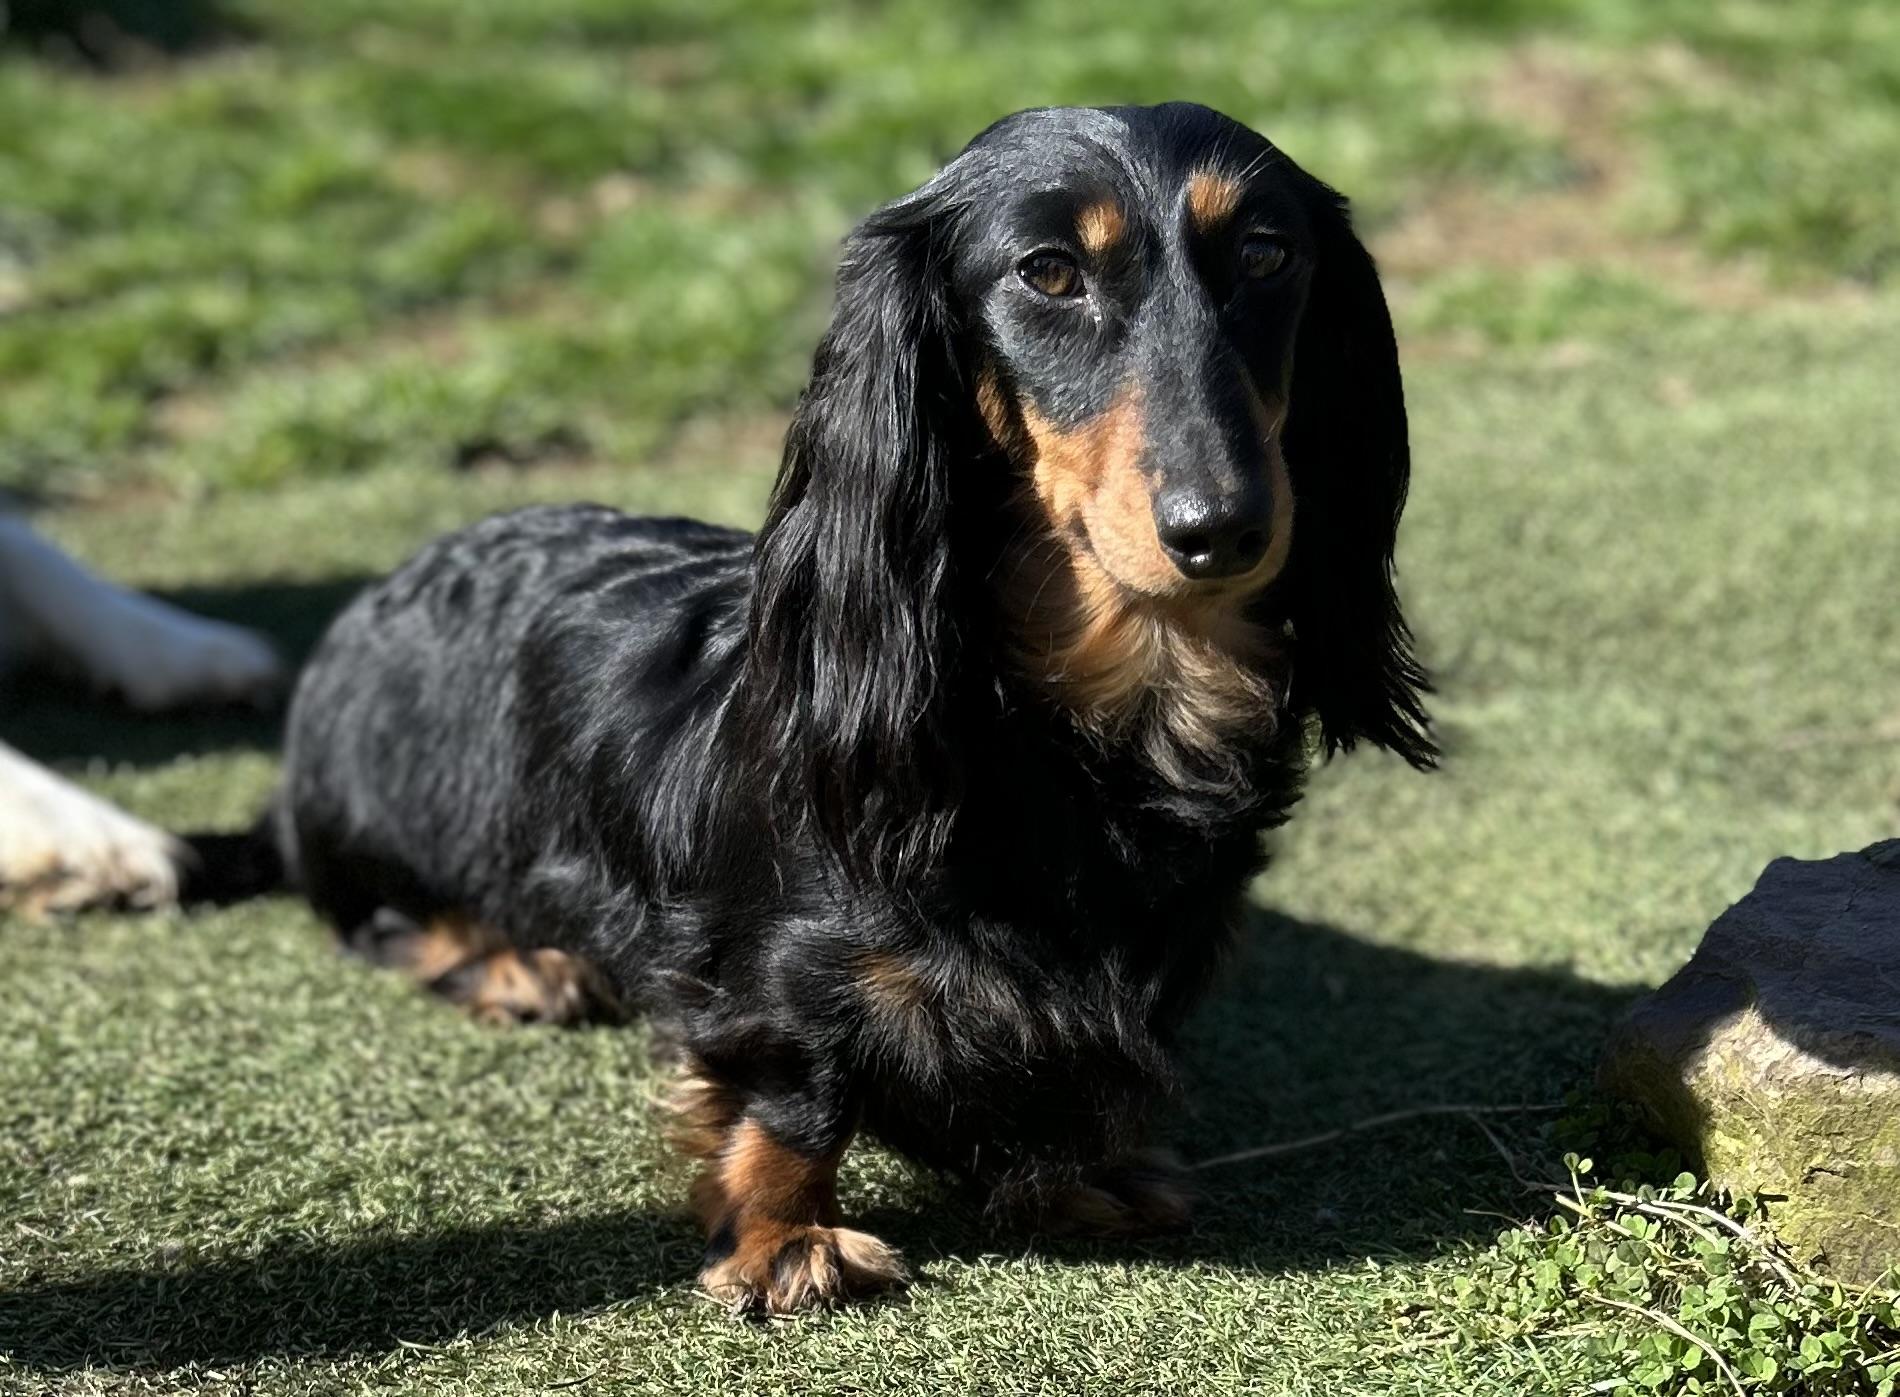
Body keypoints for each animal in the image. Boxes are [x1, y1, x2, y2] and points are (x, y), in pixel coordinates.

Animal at [214, 102, 1435, 1314]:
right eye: (1047, 272)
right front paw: (783, 1232)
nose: (1221, 526)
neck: (1096, 724)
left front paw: (1083, 1168)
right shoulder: (780, 982)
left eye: (1267, 255)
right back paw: (522, 964)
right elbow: (798, 1093)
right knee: (382, 923)